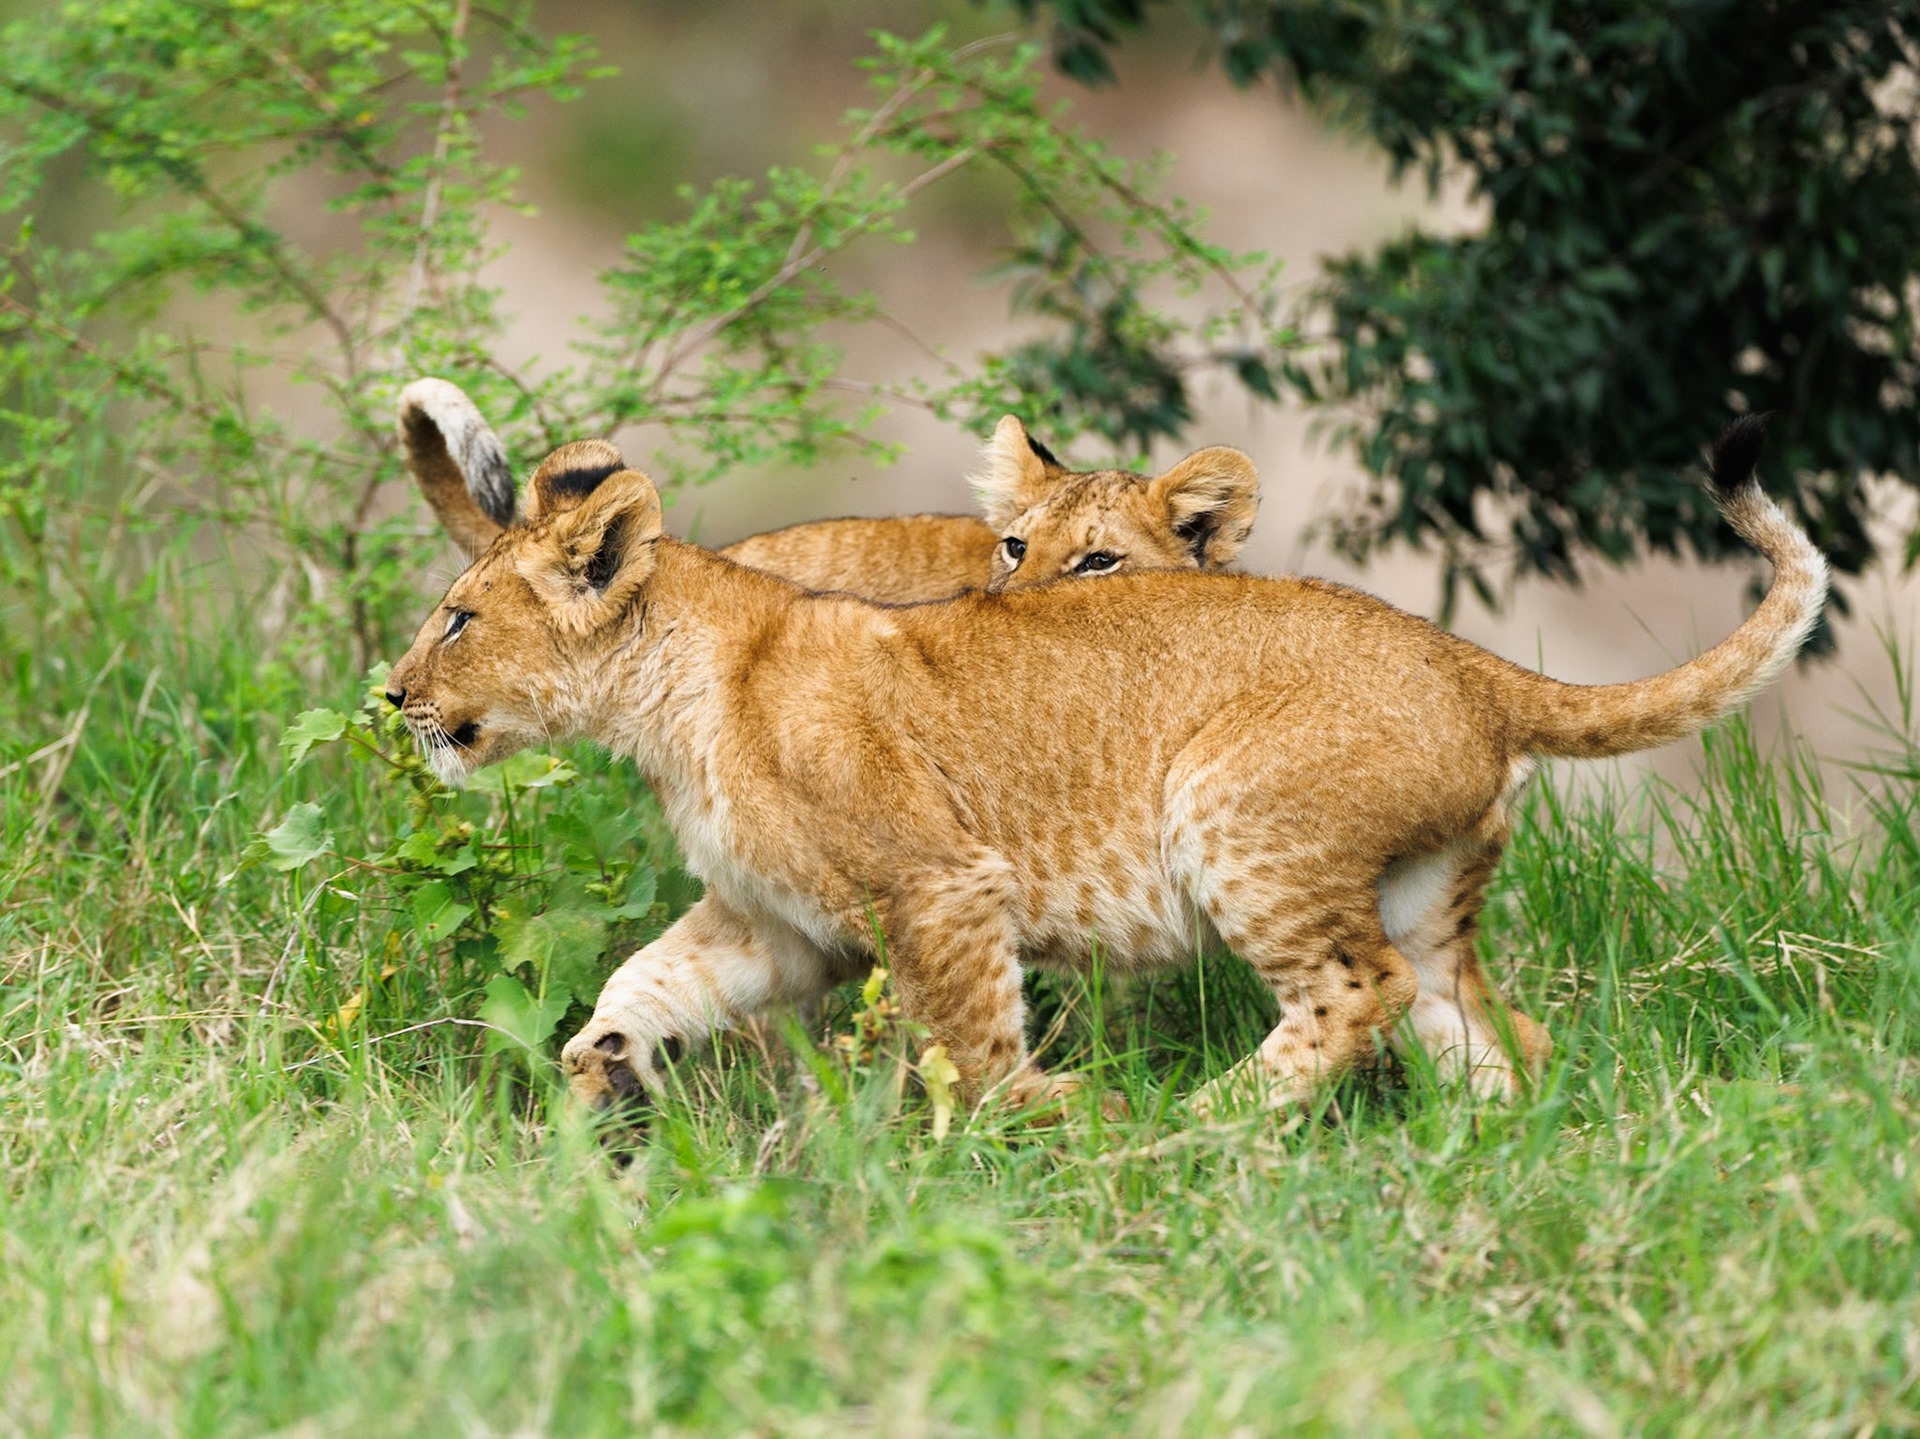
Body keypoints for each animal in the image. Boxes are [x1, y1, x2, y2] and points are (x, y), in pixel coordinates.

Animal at [381, 414, 1825, 1120]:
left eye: (456, 618)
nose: (389, 697)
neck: (670, 697)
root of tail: (1468, 661)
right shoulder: (772, 921)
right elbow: (641, 982)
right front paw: (599, 1080)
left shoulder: (941, 883)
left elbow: (972, 1049)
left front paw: (1049, 1117)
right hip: (1420, 894)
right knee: (1478, 1024)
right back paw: (1492, 1152)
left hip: (1241, 813)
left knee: (1351, 993)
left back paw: (1206, 1125)